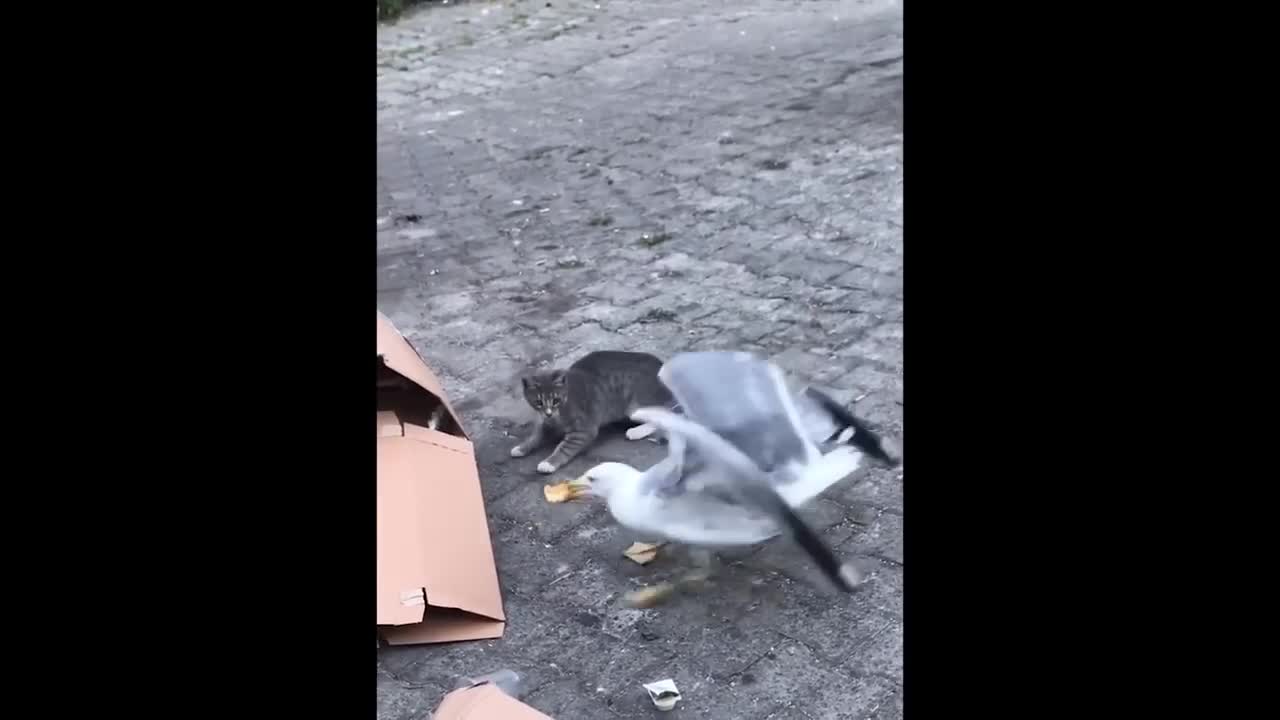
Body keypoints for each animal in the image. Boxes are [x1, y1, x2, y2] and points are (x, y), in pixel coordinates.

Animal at [509, 351, 675, 474]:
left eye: (556, 400)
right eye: (538, 402)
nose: (548, 413)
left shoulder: (583, 430)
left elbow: (564, 447)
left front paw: (549, 463)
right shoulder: (545, 423)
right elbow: (535, 437)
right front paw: (522, 447)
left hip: (636, 408)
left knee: (667, 414)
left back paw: (636, 431)